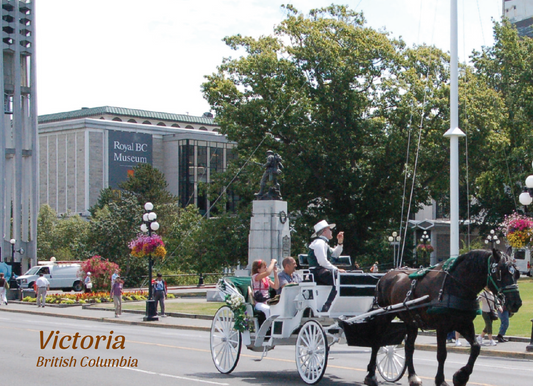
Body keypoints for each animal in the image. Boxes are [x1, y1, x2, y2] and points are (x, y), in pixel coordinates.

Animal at [364, 249, 520, 386]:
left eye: (517, 274)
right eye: (499, 272)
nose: (516, 303)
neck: (456, 285)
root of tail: (385, 276)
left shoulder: (464, 324)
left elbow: (476, 348)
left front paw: (461, 377)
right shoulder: (442, 327)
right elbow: (442, 354)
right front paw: (441, 380)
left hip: (411, 321)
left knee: (409, 346)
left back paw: (413, 377)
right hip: (384, 316)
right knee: (377, 342)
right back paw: (371, 376)